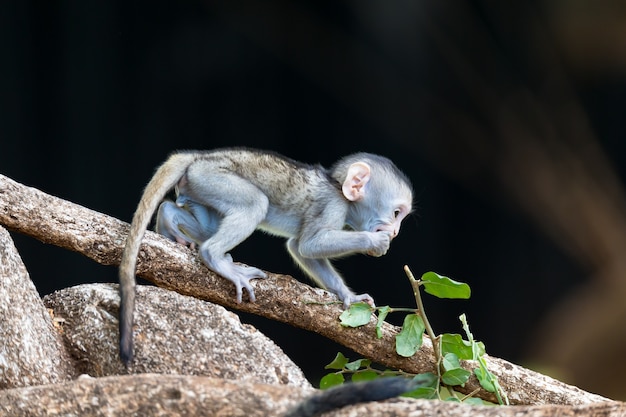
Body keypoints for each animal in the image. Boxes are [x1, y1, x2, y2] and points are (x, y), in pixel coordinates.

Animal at [119, 148, 412, 362]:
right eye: (396, 213)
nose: (396, 232)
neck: (337, 187)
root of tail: (200, 156)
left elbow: (300, 248)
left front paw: (348, 295)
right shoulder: (333, 206)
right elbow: (309, 244)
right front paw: (375, 241)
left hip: (197, 186)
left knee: (200, 221)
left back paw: (168, 219)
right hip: (212, 178)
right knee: (253, 205)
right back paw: (217, 259)